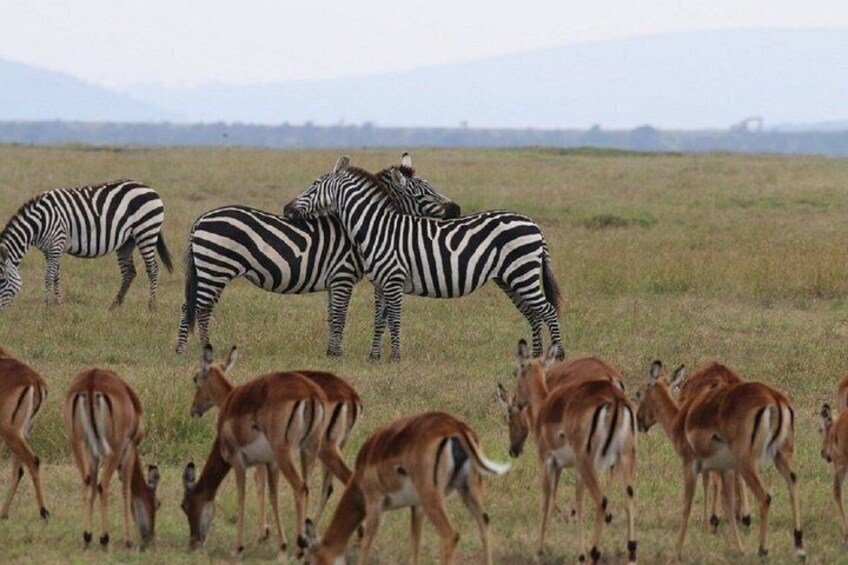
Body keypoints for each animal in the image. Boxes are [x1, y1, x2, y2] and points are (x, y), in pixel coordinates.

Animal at [0, 179, 173, 310]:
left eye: (2, 281)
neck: (40, 222)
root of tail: (148, 187)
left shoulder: (56, 243)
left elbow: (49, 276)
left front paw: (47, 306)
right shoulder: (49, 249)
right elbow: (56, 275)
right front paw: (59, 304)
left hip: (146, 231)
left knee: (152, 268)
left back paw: (151, 306)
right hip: (127, 241)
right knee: (129, 272)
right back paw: (115, 305)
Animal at [175, 154, 459, 356]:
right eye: (423, 192)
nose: (456, 210)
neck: (361, 226)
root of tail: (200, 219)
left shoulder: (334, 280)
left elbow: (332, 315)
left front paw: (330, 350)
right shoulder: (343, 276)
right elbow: (340, 315)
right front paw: (337, 354)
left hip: (210, 269)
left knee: (193, 306)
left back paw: (182, 350)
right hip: (215, 267)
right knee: (199, 307)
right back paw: (203, 349)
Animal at [283, 156, 564, 362]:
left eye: (314, 184)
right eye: (423, 191)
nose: (287, 209)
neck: (377, 228)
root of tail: (533, 224)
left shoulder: (394, 279)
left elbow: (394, 319)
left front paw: (395, 358)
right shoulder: (381, 283)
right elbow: (380, 319)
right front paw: (374, 356)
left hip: (523, 274)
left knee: (548, 311)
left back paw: (558, 356)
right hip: (510, 278)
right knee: (533, 313)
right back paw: (535, 357)